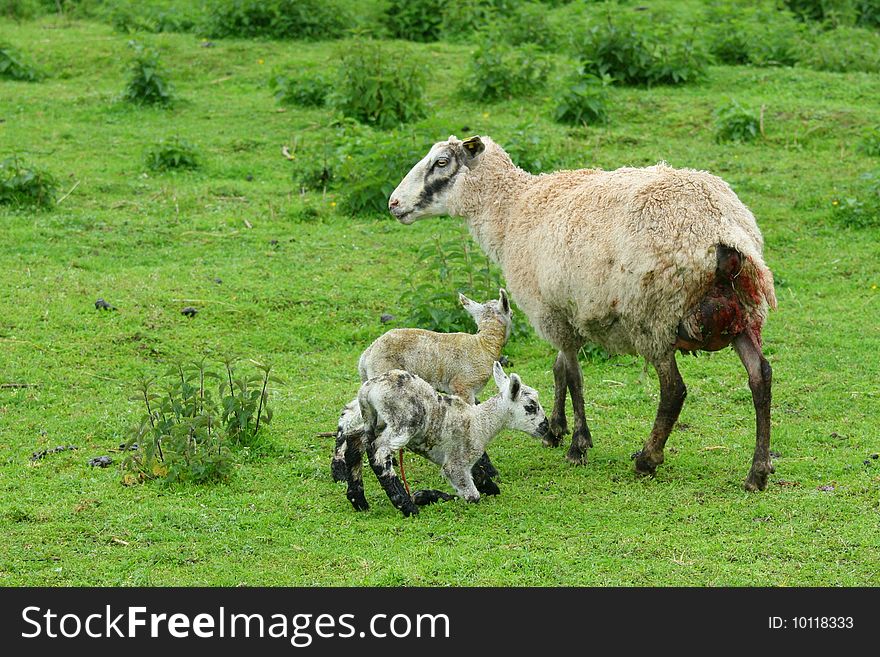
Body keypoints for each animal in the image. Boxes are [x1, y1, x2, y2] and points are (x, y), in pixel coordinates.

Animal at [330, 290, 512, 484]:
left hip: (369, 383)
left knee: (348, 413)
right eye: (512, 314)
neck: (485, 344)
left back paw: (338, 469)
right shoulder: (463, 386)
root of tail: (367, 355)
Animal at [346, 362, 548, 516]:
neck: (481, 423)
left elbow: (488, 484)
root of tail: (368, 390)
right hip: (403, 423)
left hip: (373, 421)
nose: (546, 427)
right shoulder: (456, 463)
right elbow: (472, 497)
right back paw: (406, 505)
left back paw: (358, 499)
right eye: (531, 406)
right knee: (379, 453)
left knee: (356, 444)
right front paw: (423, 496)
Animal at [388, 135, 780, 492]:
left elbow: (574, 375)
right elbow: (559, 369)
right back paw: (757, 472)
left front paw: (577, 445)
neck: (513, 209)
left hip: (656, 317)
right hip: (743, 315)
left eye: (441, 163)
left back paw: (647, 459)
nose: (393, 203)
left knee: (673, 391)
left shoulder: (550, 312)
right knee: (760, 376)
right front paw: (556, 428)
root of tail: (723, 232)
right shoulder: (563, 311)